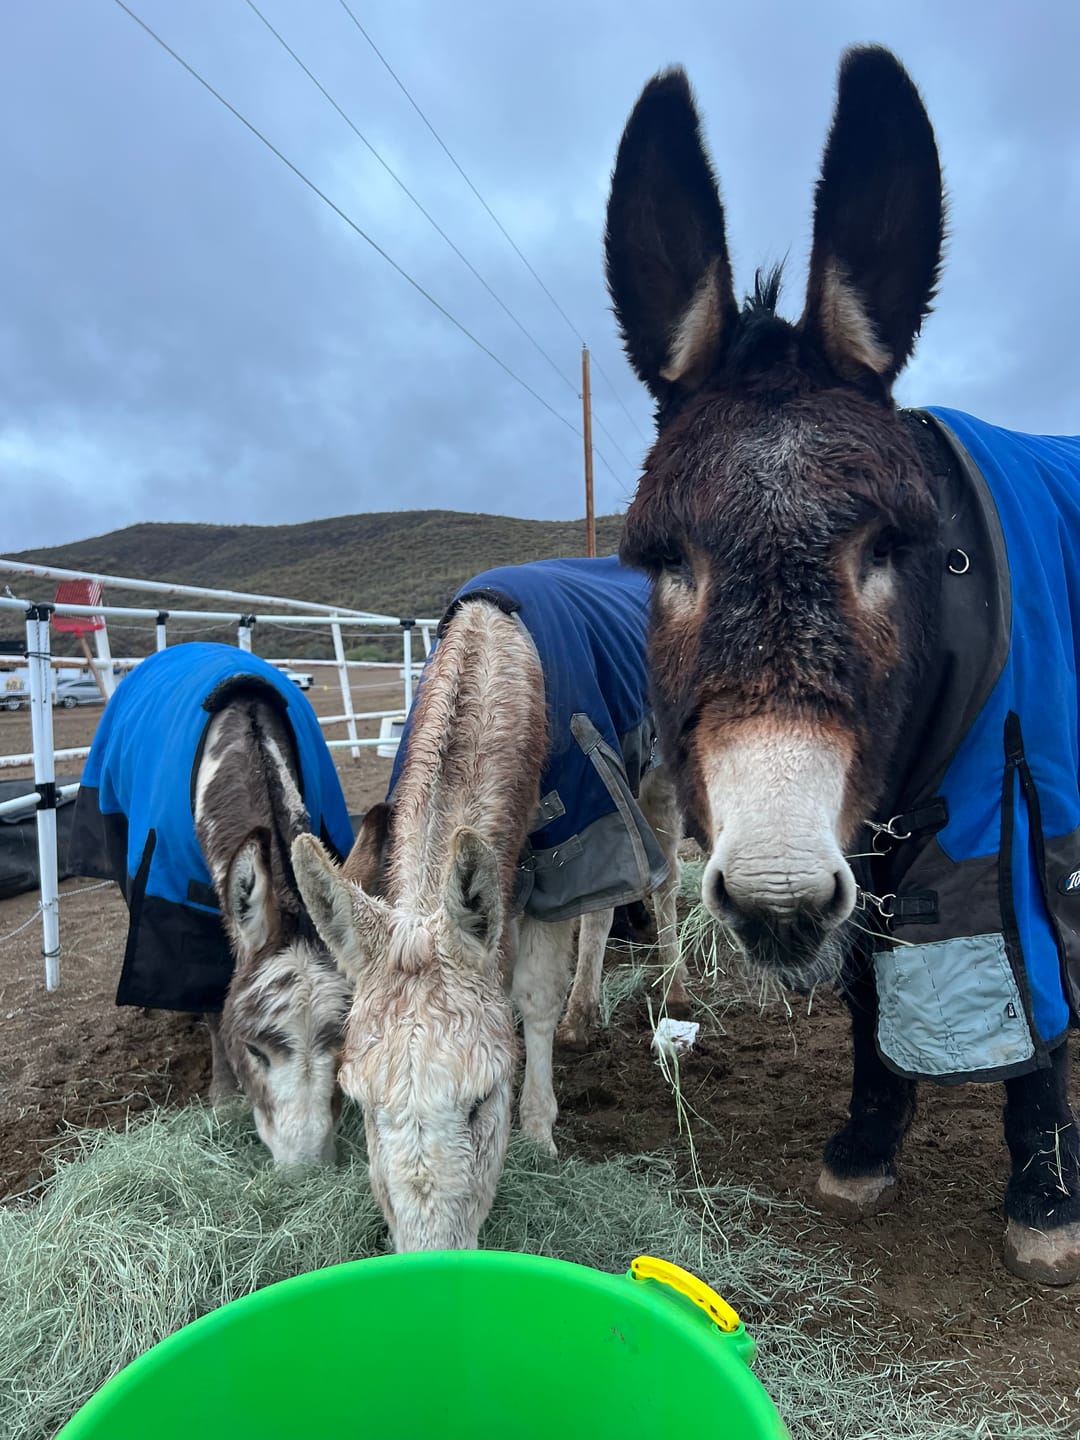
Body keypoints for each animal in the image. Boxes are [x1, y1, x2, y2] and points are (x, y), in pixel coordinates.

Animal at [69, 642, 355, 1166]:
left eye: (341, 1047)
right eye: (254, 1049)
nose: (304, 1167)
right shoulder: (184, 908)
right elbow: (210, 1003)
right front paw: (225, 1099)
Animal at [293, 555, 686, 1251]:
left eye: (482, 1101)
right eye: (360, 1106)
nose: (431, 1259)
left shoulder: (568, 850)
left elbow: (533, 996)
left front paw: (540, 1134)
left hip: (652, 779)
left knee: (662, 882)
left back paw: (675, 986)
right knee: (604, 909)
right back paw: (585, 1014)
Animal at [603, 45, 1080, 1284]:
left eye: (883, 549)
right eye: (666, 561)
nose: (773, 897)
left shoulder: (1023, 811)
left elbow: (1042, 1002)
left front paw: (1046, 1197)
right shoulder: (870, 831)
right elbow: (867, 987)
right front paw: (867, 1142)